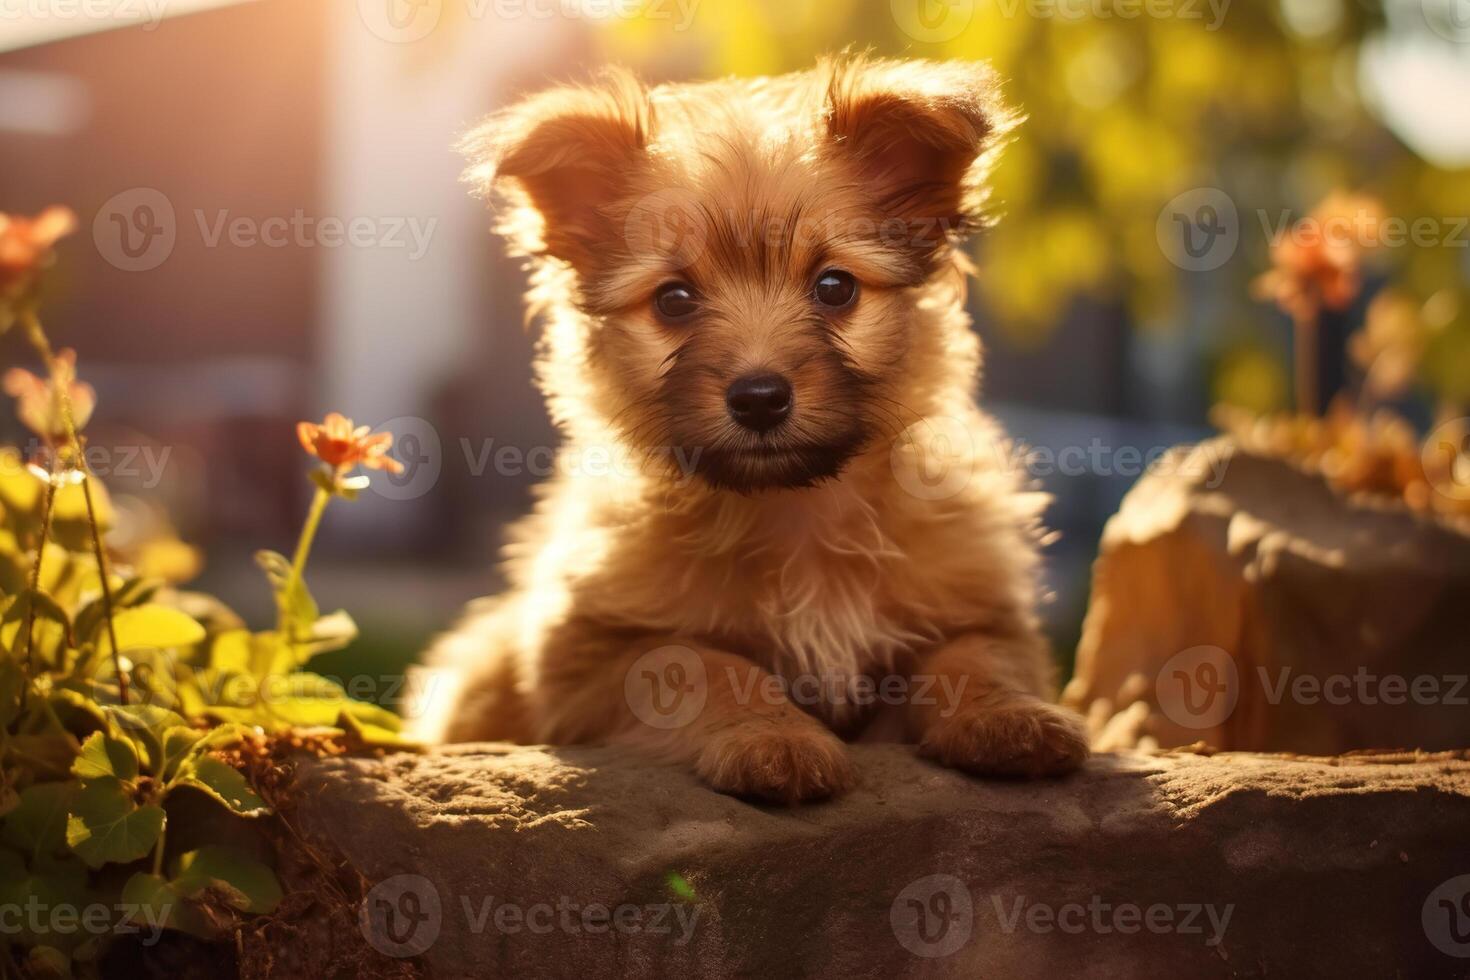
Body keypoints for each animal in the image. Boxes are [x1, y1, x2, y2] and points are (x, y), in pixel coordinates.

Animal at [414, 53, 1093, 799]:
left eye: (835, 287)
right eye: (674, 300)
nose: (760, 397)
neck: (795, 514)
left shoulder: (981, 609)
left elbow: (973, 659)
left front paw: (1010, 718)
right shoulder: (591, 650)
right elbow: (706, 668)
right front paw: (771, 738)